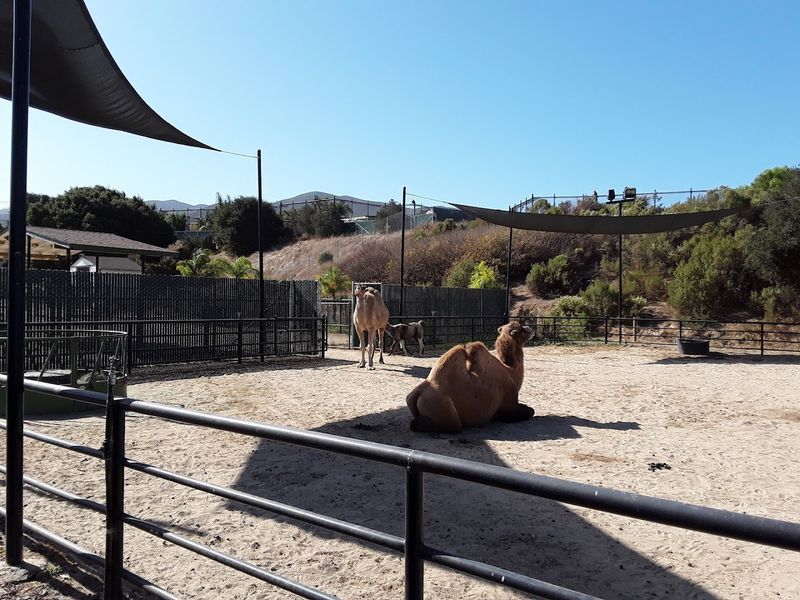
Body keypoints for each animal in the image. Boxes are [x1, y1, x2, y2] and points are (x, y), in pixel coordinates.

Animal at [405, 321, 535, 433]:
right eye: (521, 329)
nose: (531, 329)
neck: (510, 371)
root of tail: (418, 393)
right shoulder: (509, 403)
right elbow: (530, 411)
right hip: (444, 409)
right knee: (453, 426)